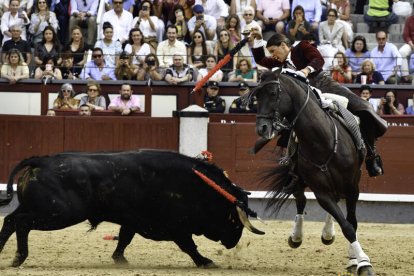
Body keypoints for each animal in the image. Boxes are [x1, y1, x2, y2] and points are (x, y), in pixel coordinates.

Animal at [0, 150, 264, 266]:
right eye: (234, 219)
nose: (232, 243)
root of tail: (41, 161)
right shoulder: (177, 227)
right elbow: (189, 246)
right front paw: (205, 261)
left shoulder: (133, 220)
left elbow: (124, 238)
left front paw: (119, 259)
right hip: (58, 214)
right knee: (22, 223)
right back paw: (18, 258)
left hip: (40, 210)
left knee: (10, 220)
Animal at [252, 68, 376, 274]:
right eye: (256, 96)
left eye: (273, 93)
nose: (262, 128)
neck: (322, 141)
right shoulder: (320, 191)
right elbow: (346, 225)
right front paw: (363, 262)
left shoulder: (353, 187)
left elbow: (351, 223)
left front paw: (360, 262)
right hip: (297, 177)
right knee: (301, 200)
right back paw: (298, 237)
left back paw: (330, 236)